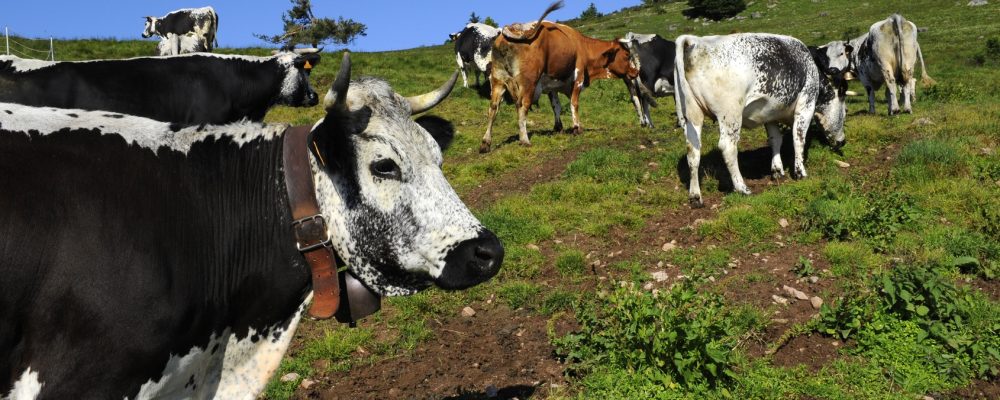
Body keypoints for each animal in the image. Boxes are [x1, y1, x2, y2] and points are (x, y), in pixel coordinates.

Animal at [480, 1, 636, 153]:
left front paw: (558, 127)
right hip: (529, 83)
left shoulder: (551, 85)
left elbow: (556, 106)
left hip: (497, 80)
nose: (636, 71)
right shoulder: (578, 78)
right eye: (627, 55)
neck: (582, 46)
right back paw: (524, 140)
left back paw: (486, 143)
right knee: (522, 106)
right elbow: (574, 103)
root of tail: (514, 28)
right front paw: (577, 128)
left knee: (493, 108)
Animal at [676, 33, 848, 208]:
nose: (842, 141)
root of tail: (696, 41)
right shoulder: (806, 103)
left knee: (693, 152)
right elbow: (798, 139)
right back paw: (742, 187)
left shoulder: (769, 114)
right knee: (727, 148)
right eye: (845, 111)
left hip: (691, 116)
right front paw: (800, 172)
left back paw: (695, 196)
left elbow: (775, 139)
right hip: (730, 115)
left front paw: (777, 170)